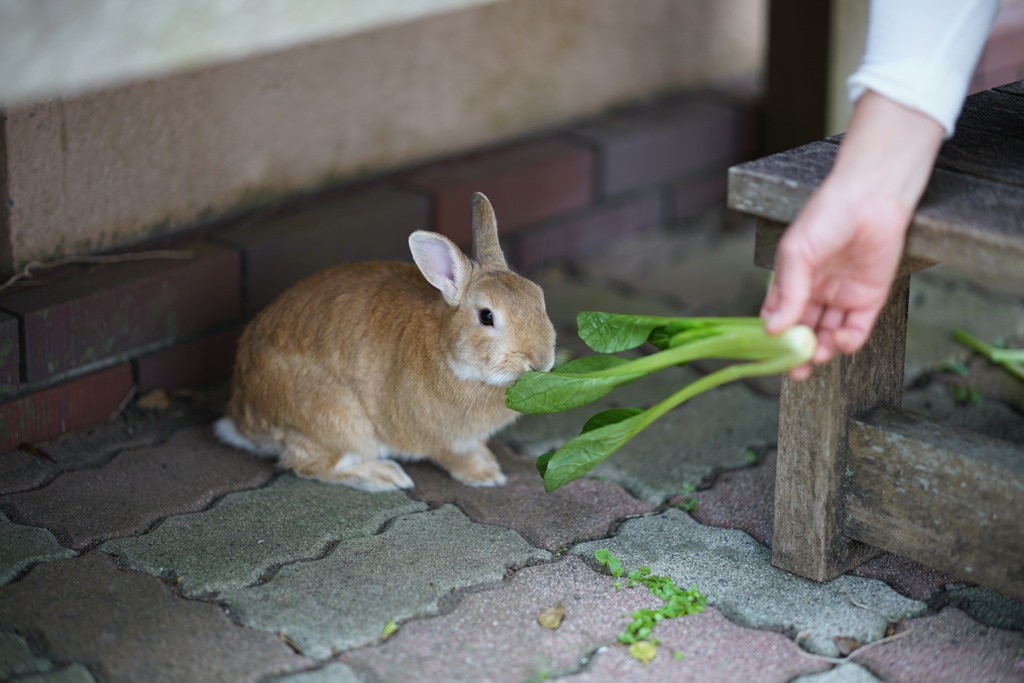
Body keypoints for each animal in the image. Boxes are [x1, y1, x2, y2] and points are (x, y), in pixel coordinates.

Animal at [210, 192, 557, 491]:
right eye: (486, 316)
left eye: (539, 298)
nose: (540, 361)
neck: (449, 353)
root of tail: (242, 415)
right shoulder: (441, 438)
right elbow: (454, 456)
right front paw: (485, 475)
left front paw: (488, 462)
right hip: (340, 422)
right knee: (307, 464)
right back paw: (384, 476)